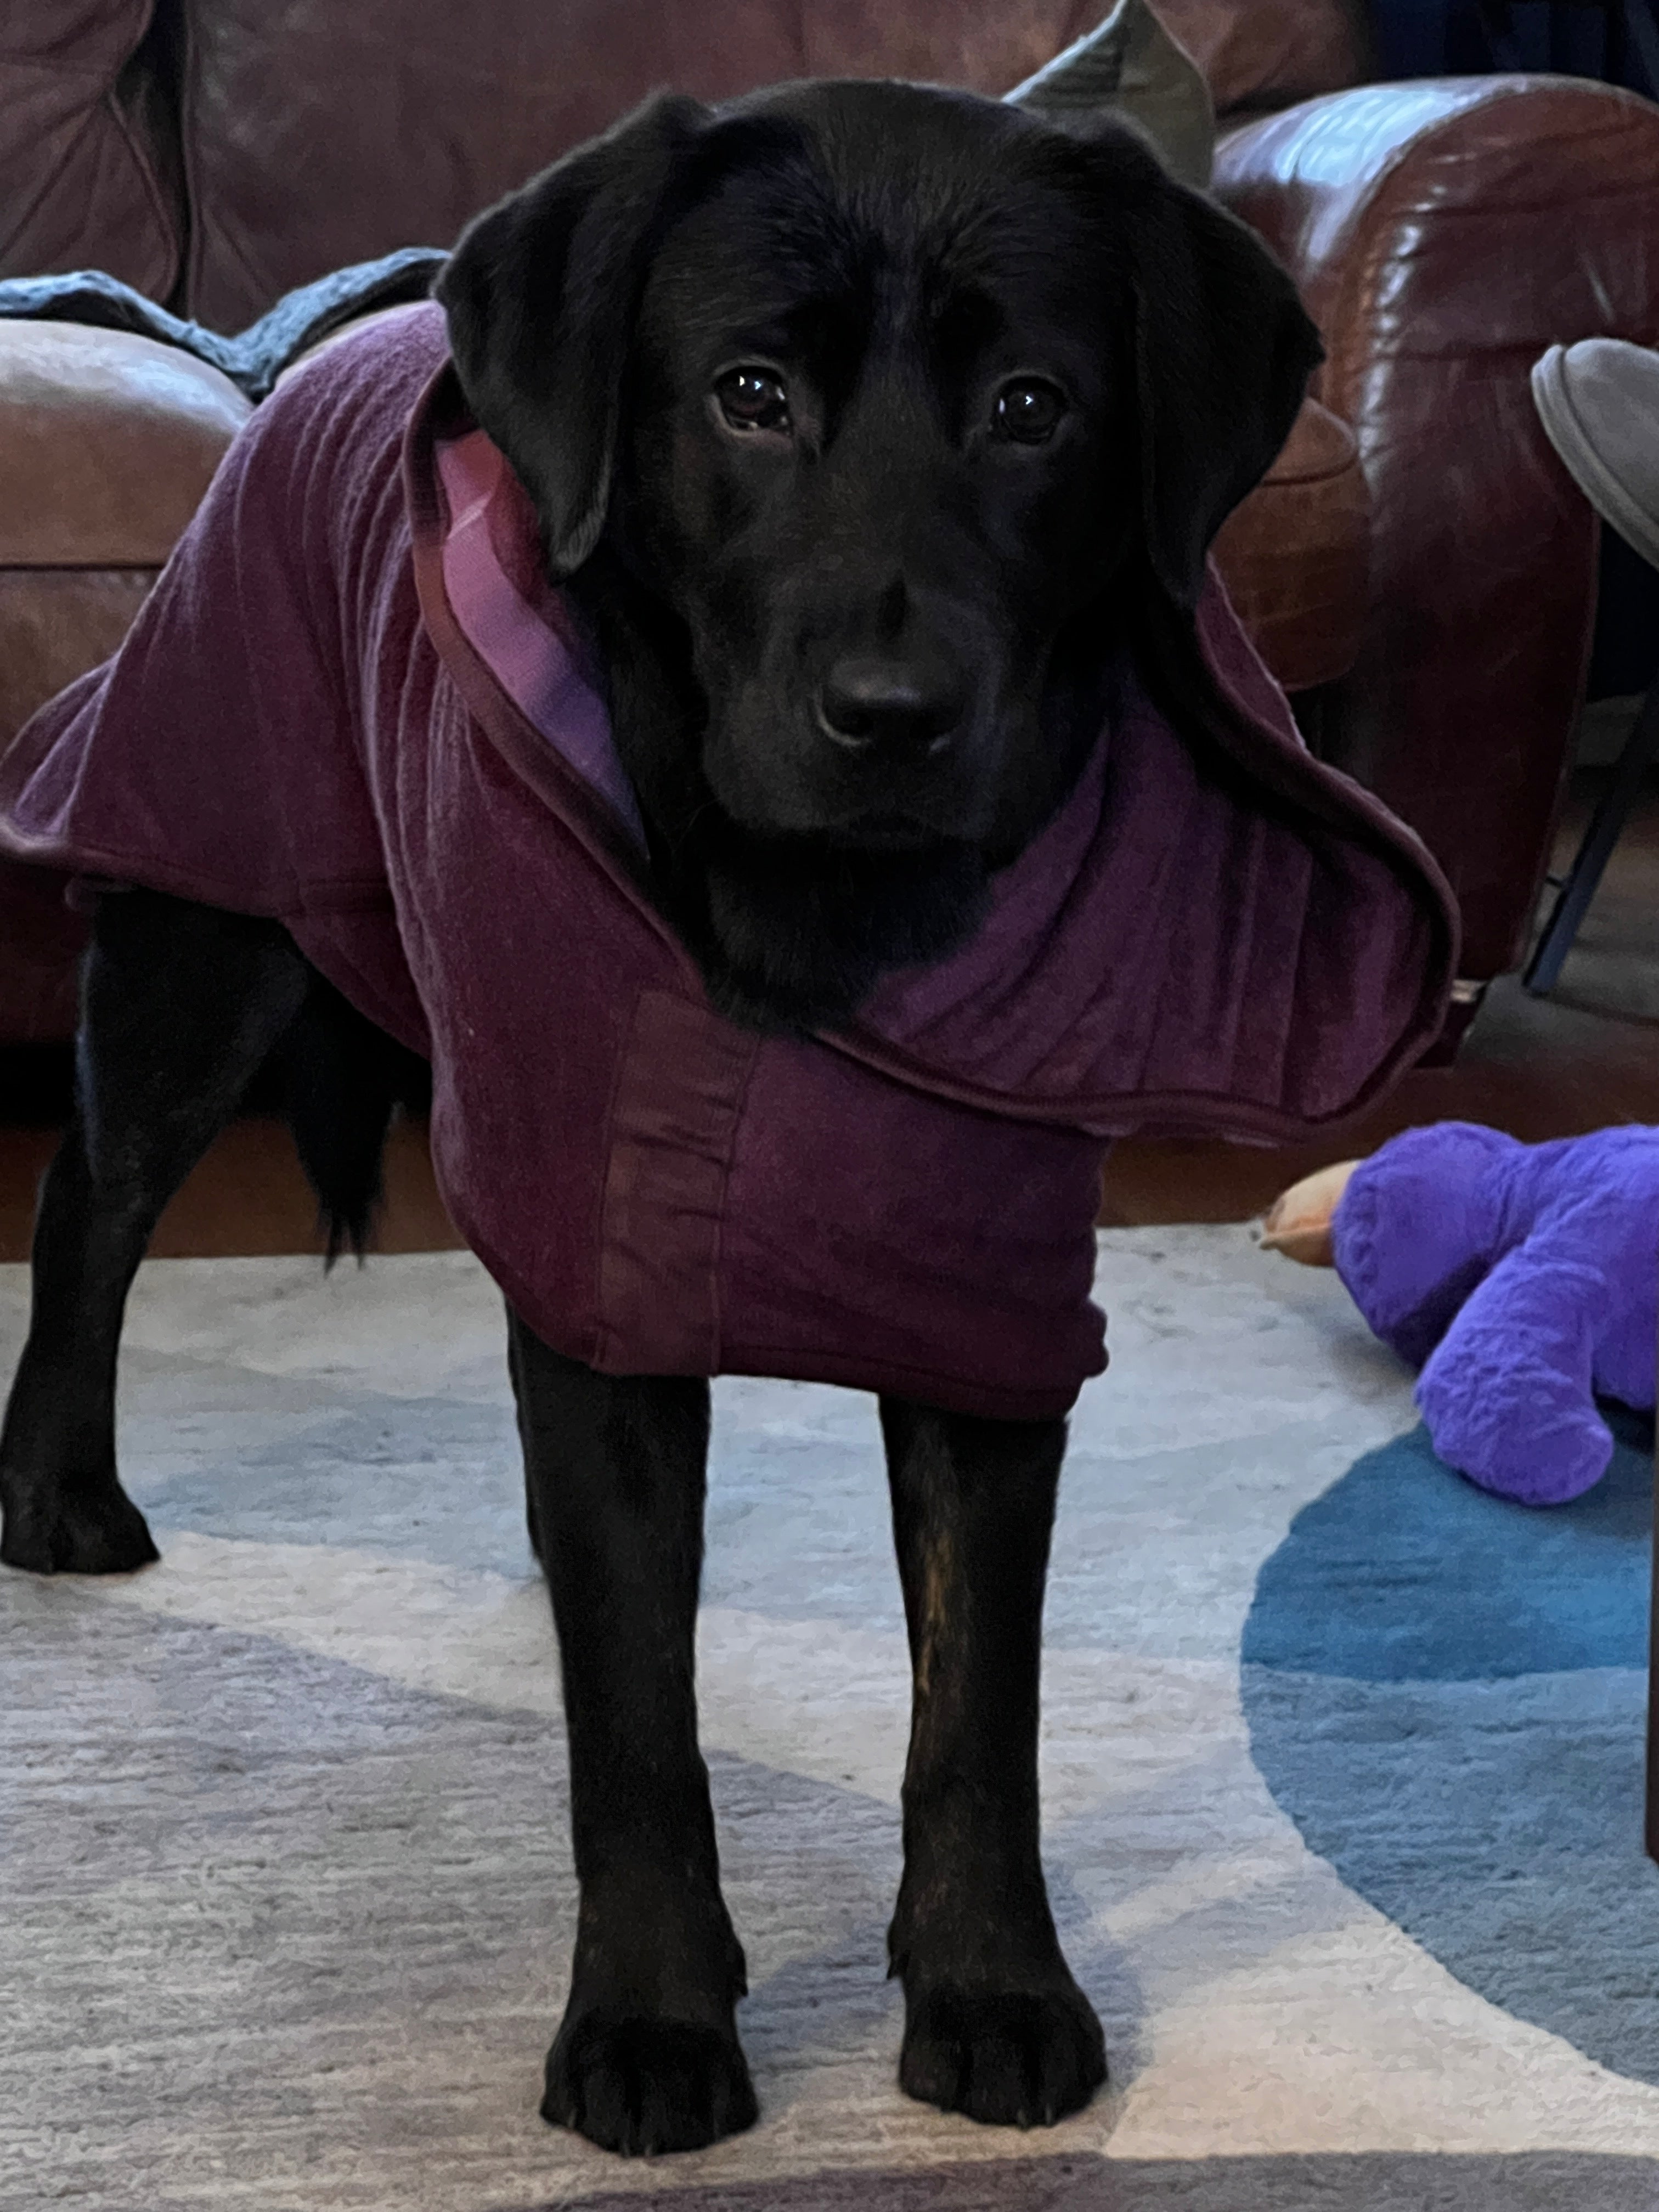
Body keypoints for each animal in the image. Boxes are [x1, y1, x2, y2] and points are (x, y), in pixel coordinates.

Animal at [3, 78, 1327, 2150]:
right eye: (748, 395)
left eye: (1033, 406)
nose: (892, 714)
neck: (816, 931)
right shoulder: (608, 1236)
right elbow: (635, 1724)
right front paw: (647, 2024)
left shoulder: (988, 1307)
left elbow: (979, 1705)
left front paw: (990, 1983)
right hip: (207, 933)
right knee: (94, 1203)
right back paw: (56, 1487)